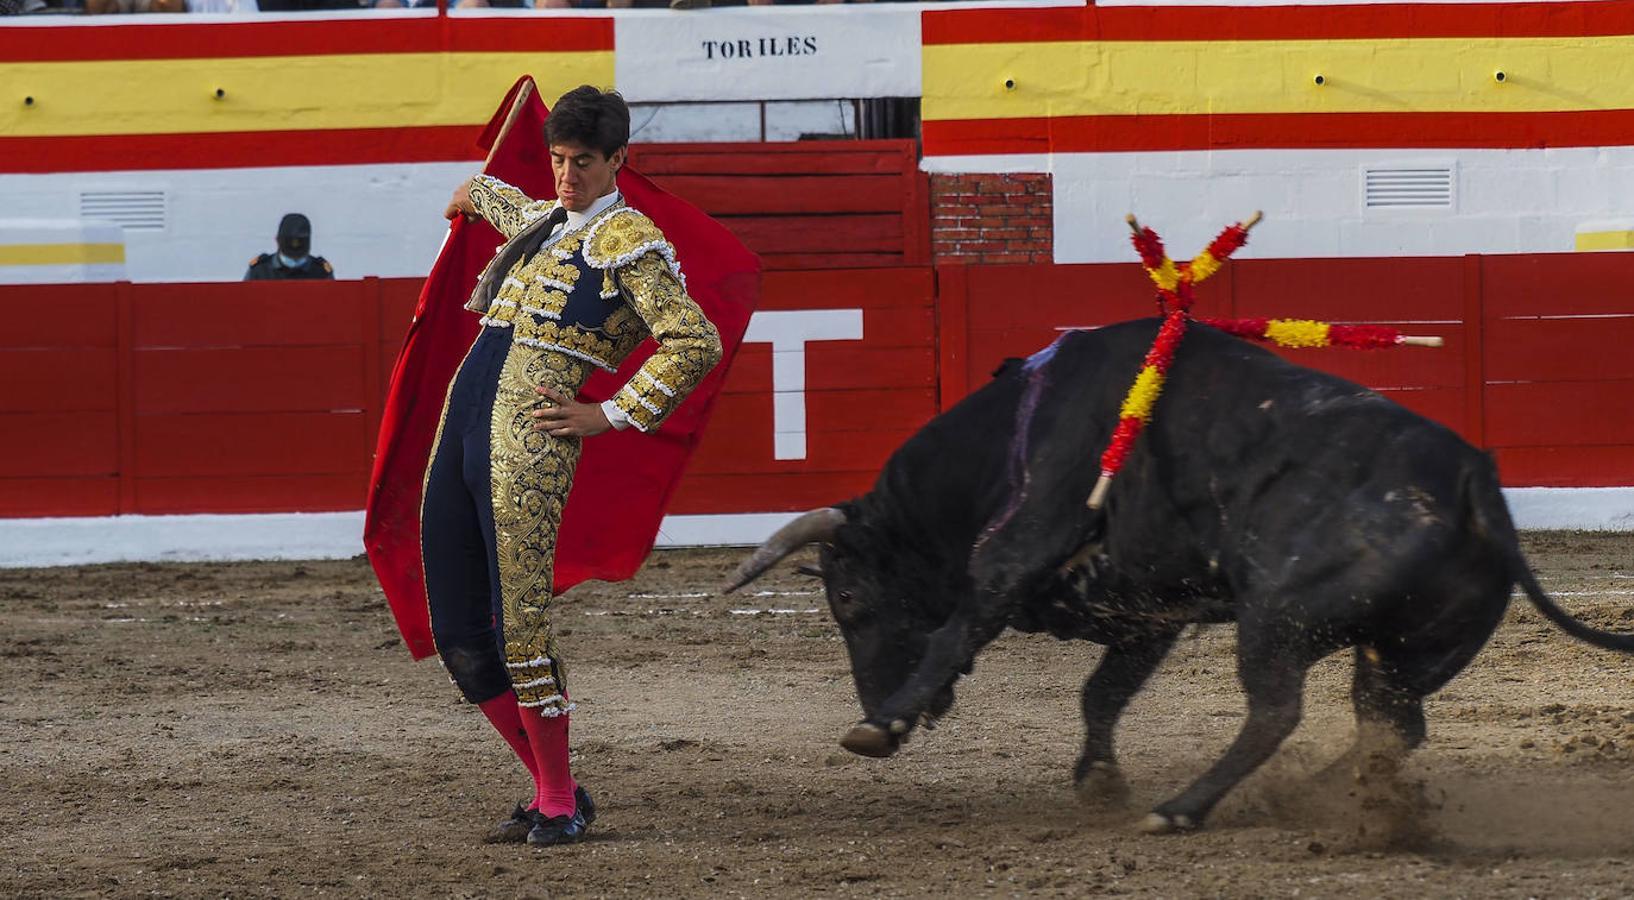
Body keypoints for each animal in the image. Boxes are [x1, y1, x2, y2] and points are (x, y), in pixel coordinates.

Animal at [728, 320, 1634, 836]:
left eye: (848, 599)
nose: (880, 700)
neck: (1008, 440)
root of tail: (1473, 476)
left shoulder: (1025, 541)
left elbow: (964, 624)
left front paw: (880, 727)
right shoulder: (1149, 615)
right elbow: (1101, 694)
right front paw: (1099, 781)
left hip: (1278, 620)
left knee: (1277, 712)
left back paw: (1184, 808)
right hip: (1407, 653)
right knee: (1392, 729)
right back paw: (1314, 798)